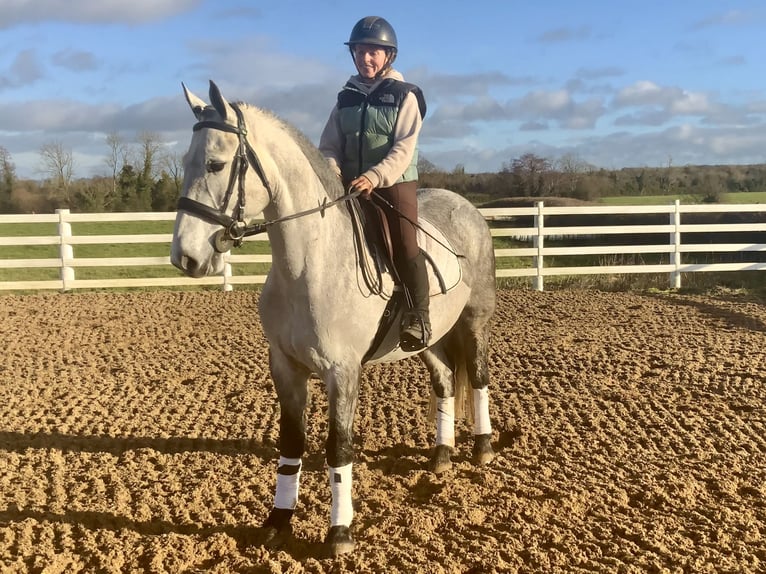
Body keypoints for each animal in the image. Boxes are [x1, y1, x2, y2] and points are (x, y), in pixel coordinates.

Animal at [170, 81, 497, 556]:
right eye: (185, 163)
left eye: (215, 163)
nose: (185, 258)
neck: (311, 263)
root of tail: (467, 207)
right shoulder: (286, 367)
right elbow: (292, 443)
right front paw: (278, 521)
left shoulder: (342, 371)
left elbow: (338, 448)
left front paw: (339, 533)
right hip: (427, 339)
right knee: (444, 381)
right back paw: (441, 455)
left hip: (473, 323)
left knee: (477, 376)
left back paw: (483, 447)